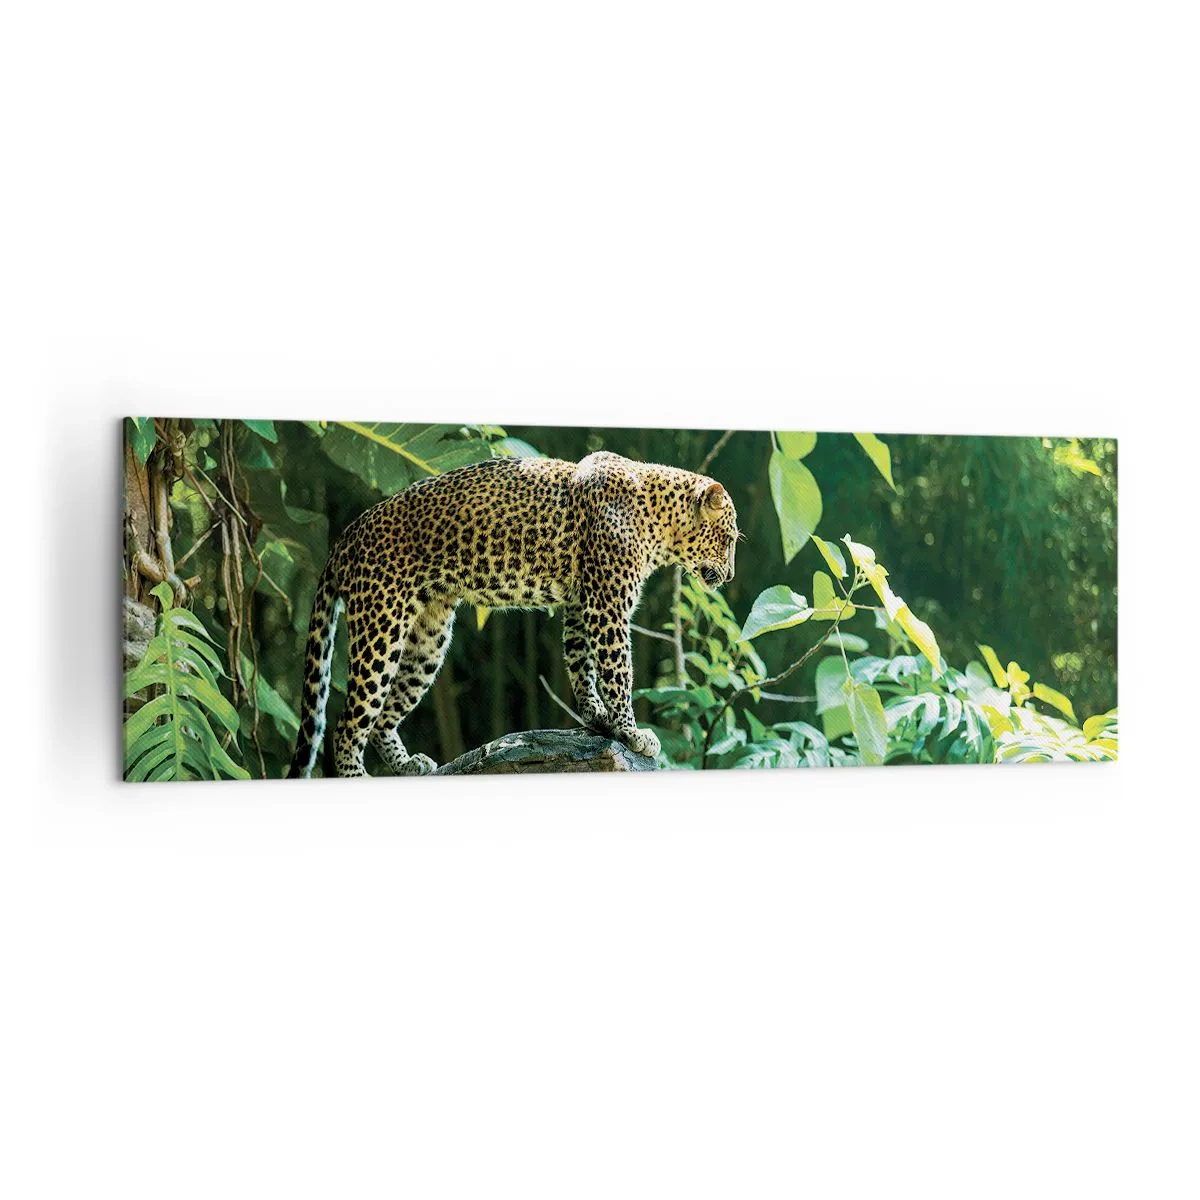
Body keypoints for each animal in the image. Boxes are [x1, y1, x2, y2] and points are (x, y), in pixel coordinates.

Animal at [287, 450, 739, 778]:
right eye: (729, 539)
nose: (732, 575)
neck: (659, 519)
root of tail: (346, 535)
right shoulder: (607, 607)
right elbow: (617, 671)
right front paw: (631, 731)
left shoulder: (581, 604)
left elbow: (580, 663)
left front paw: (597, 718)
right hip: (380, 627)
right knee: (347, 723)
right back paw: (355, 775)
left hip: (428, 639)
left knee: (383, 716)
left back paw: (408, 764)